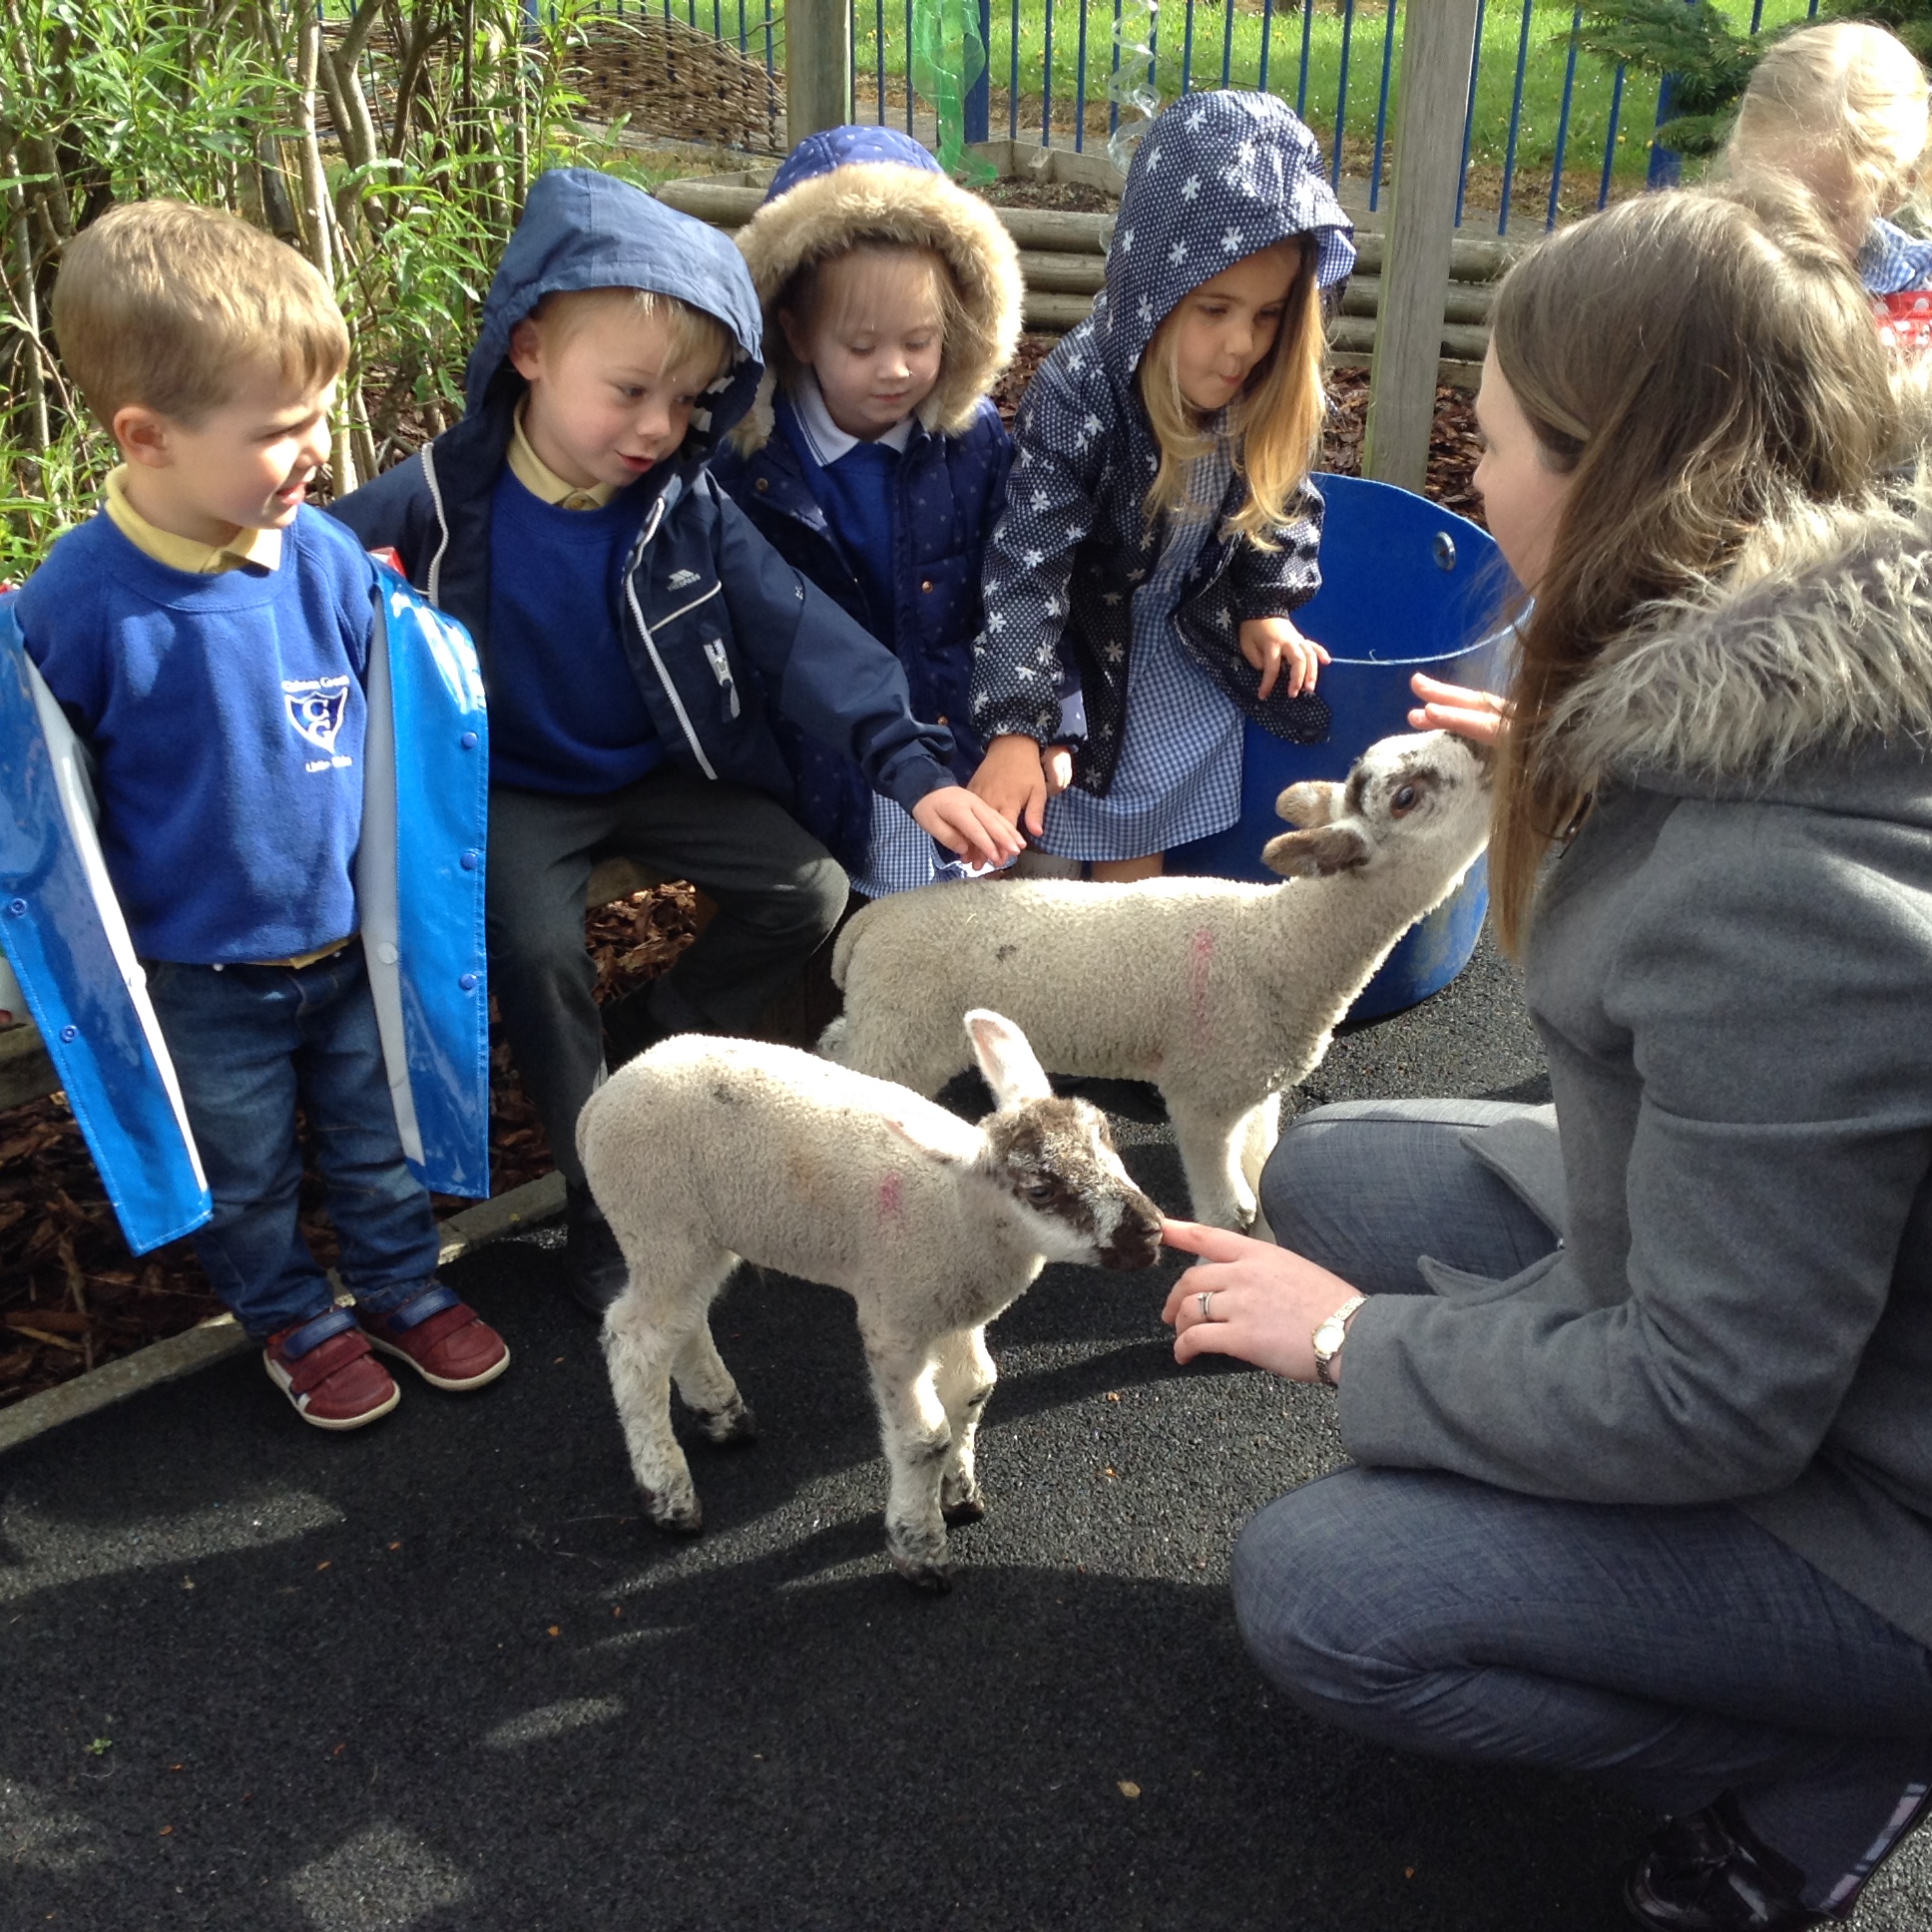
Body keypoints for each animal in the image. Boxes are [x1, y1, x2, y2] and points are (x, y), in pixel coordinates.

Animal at [575, 1004, 1159, 1592]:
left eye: (1107, 1138)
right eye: (1041, 1190)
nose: (1151, 1230)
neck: (957, 1210)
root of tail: (598, 1103)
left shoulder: (955, 1310)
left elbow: (973, 1390)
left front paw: (959, 1495)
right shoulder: (896, 1318)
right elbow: (926, 1436)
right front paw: (920, 1551)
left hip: (700, 1235)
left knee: (682, 1323)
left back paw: (722, 1415)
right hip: (658, 1219)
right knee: (635, 1339)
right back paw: (670, 1497)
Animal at [822, 729, 1483, 1228]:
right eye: (1406, 796)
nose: (1476, 739)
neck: (1279, 944)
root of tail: (870, 921)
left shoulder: (1256, 1087)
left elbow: (1266, 1173)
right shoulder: (1205, 1095)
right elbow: (1227, 1212)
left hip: (887, 1019)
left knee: (838, 1042)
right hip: (904, 1032)